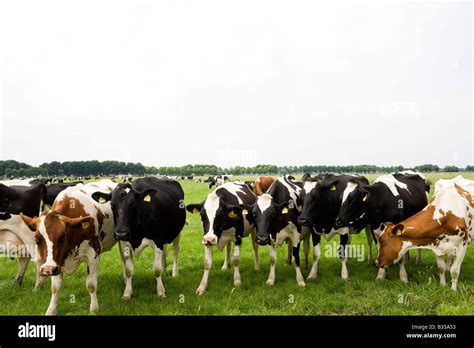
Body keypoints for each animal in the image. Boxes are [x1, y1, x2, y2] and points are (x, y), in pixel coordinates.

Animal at [20, 179, 130, 316]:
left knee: (124, 260)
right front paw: (51, 310)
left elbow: (91, 284)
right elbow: (55, 287)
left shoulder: (93, 254)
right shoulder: (57, 262)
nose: (47, 270)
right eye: (37, 240)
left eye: (62, 237)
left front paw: (94, 309)